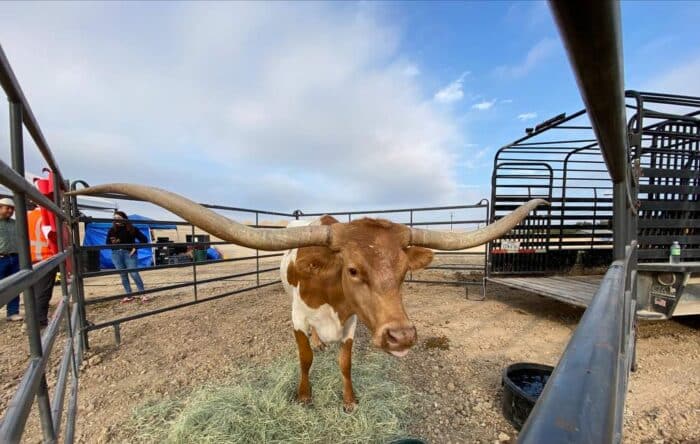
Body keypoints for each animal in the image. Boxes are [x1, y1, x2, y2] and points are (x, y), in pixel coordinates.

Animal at [69, 184, 546, 412]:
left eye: (404, 273)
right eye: (353, 270)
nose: (402, 337)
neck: (332, 294)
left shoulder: (352, 323)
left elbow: (345, 362)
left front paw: (350, 401)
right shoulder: (297, 318)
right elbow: (305, 358)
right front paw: (304, 395)